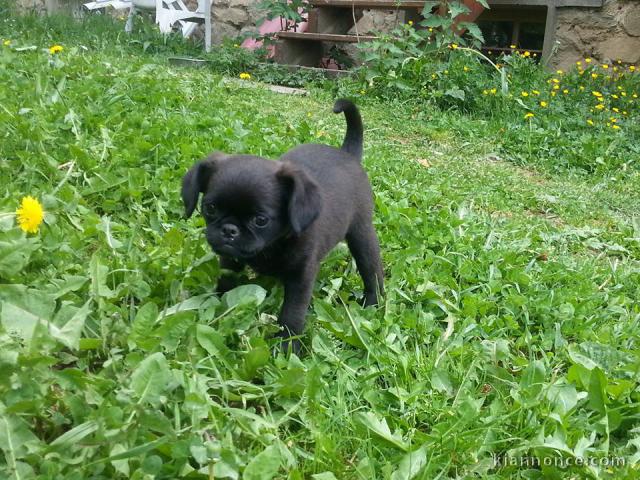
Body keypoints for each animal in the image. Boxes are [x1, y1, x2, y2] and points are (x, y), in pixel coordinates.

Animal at [180, 98, 382, 352]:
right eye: (210, 208)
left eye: (261, 220)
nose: (229, 230)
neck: (272, 245)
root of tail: (347, 154)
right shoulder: (229, 260)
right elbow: (227, 283)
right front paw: (217, 305)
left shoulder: (301, 276)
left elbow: (292, 313)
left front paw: (287, 347)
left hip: (361, 235)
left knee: (372, 270)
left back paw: (373, 303)